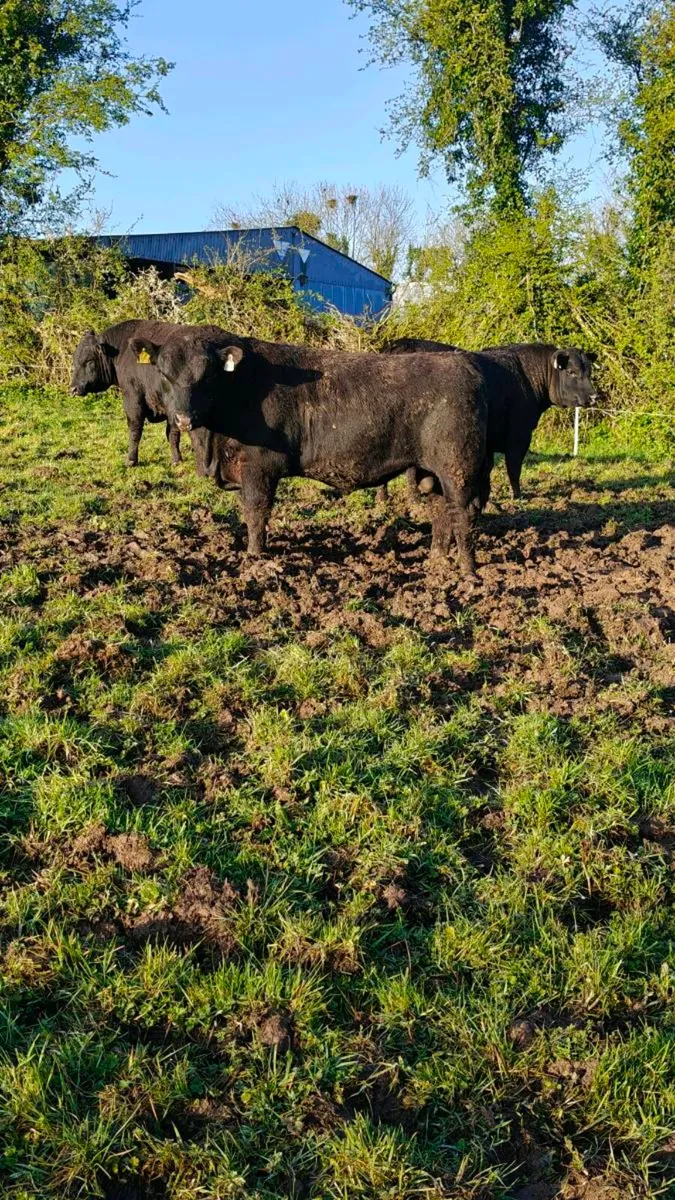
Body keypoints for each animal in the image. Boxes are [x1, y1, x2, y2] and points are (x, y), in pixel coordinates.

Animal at [128, 327, 490, 577]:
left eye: (207, 376)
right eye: (163, 373)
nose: (183, 418)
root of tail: (464, 363)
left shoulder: (259, 468)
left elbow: (256, 513)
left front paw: (255, 557)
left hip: (458, 467)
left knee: (463, 512)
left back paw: (468, 571)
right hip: (433, 471)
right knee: (441, 510)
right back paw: (437, 560)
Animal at [384, 338, 598, 504]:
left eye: (589, 371)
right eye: (571, 372)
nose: (594, 397)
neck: (527, 376)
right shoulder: (518, 435)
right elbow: (513, 468)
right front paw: (517, 497)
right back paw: (413, 500)